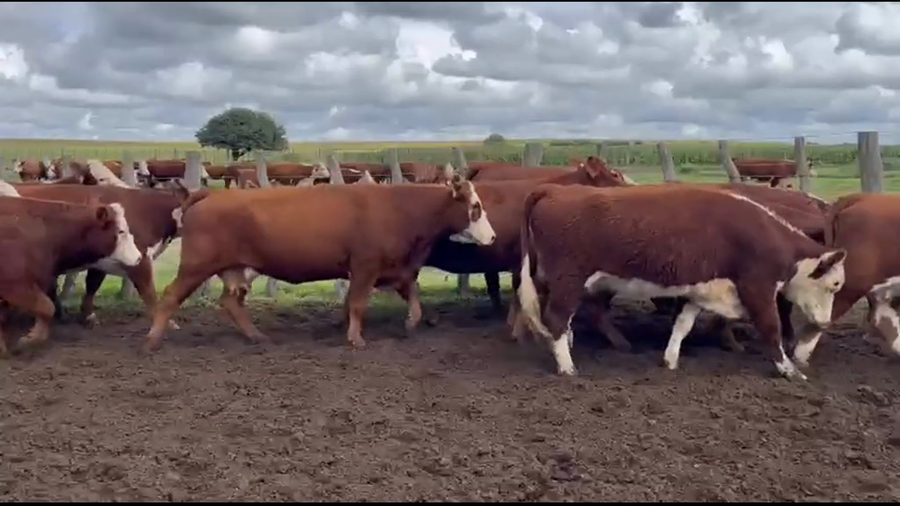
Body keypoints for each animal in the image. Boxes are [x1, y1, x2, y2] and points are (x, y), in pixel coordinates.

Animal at [12, 184, 187, 329]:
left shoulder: (102, 262)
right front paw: (165, 322)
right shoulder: (140, 261)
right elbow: (149, 292)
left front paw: (88, 316)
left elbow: (92, 285)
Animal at [141, 176, 497, 353]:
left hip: (234, 268)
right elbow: (358, 303)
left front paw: (412, 322)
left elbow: (412, 293)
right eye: (476, 207)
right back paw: (152, 341)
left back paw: (256, 336)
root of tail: (210, 197)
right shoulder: (365, 266)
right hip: (196, 265)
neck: (400, 207)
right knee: (170, 297)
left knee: (231, 301)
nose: (492, 236)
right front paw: (355, 339)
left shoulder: (394, 267)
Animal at [514, 183, 847, 381]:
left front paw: (670, 359)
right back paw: (567, 366)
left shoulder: (699, 290)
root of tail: (554, 190)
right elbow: (771, 328)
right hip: (568, 280)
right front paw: (788, 369)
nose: (824, 323)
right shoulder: (757, 289)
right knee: (557, 318)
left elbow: (682, 325)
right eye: (834, 285)